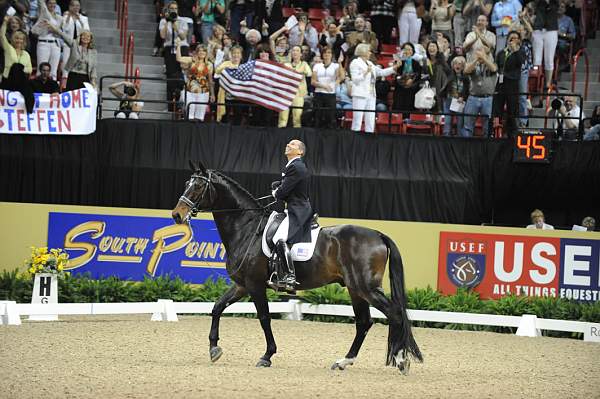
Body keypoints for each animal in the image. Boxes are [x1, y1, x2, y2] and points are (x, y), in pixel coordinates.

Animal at [169, 162, 422, 376]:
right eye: (186, 183)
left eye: (198, 186)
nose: (176, 215)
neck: (247, 228)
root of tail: (378, 234)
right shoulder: (241, 284)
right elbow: (217, 307)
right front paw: (214, 349)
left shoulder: (254, 284)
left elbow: (264, 318)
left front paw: (267, 356)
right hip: (355, 289)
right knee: (364, 322)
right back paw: (343, 361)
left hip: (365, 287)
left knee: (394, 315)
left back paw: (401, 360)